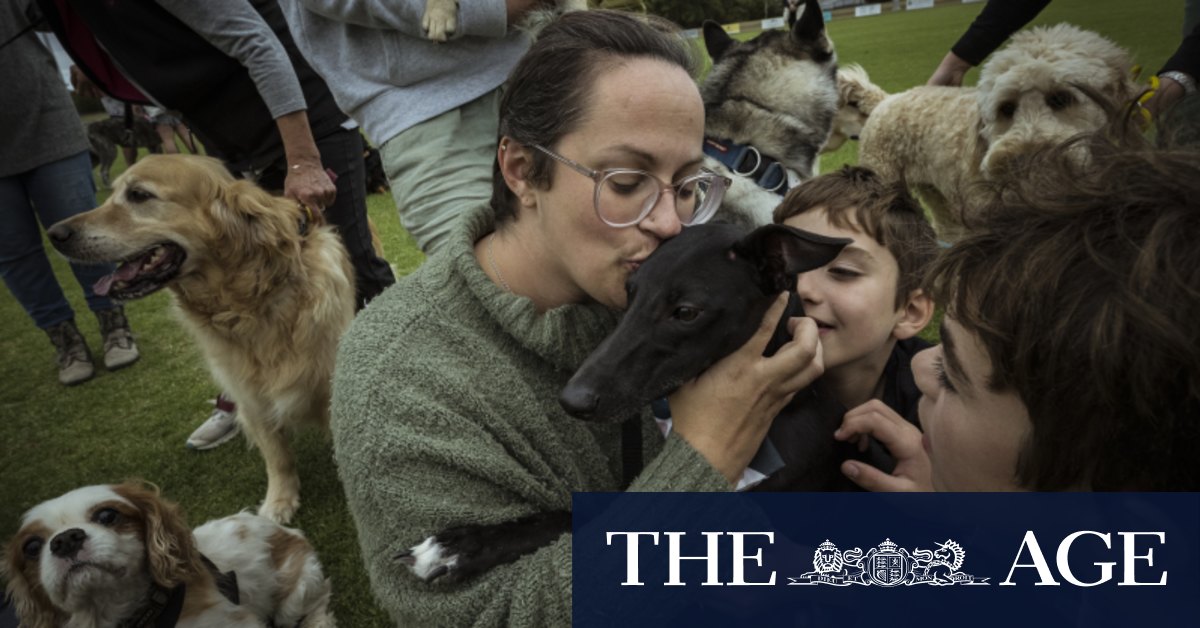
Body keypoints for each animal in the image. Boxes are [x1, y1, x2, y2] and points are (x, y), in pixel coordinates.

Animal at [48, 156, 355, 525]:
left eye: (139, 195)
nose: (55, 234)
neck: (250, 305)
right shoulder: (249, 394)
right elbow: (277, 455)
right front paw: (279, 501)